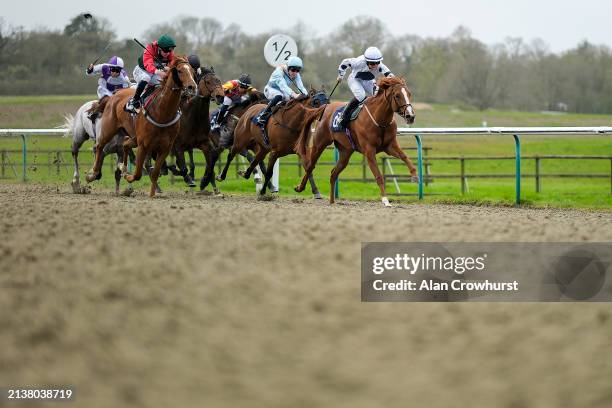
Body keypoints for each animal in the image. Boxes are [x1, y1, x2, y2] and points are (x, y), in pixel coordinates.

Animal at [85, 56, 196, 197]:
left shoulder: (165, 147)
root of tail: (113, 95)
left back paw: (122, 167)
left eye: (192, 71)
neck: (162, 112)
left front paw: (152, 194)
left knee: (126, 143)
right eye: (180, 71)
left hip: (134, 136)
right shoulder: (144, 145)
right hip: (109, 129)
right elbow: (138, 174)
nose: (192, 87)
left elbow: (155, 173)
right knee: (99, 146)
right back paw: (92, 174)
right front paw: (127, 176)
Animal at [294, 76, 418, 206]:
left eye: (409, 94)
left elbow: (405, 157)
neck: (379, 120)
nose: (410, 116)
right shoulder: (369, 151)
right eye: (397, 95)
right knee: (310, 166)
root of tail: (324, 108)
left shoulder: (390, 146)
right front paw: (385, 200)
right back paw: (300, 188)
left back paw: (332, 201)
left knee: (333, 173)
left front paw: (414, 175)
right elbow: (378, 176)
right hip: (319, 144)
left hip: (345, 152)